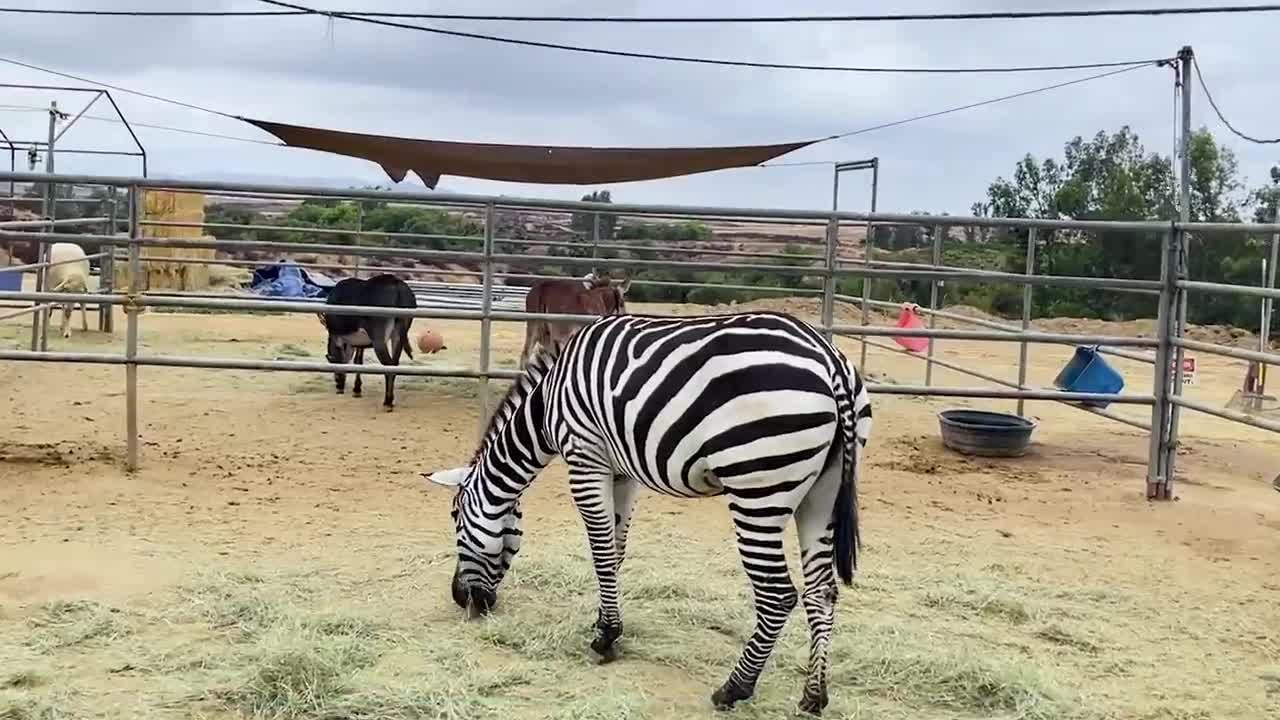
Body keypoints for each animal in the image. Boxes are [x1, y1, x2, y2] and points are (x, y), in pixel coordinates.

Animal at [430, 310, 870, 712]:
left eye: (456, 523)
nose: (460, 600)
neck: (547, 401)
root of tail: (828, 358)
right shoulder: (622, 472)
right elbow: (615, 552)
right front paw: (605, 623)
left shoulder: (584, 457)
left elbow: (600, 550)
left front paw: (606, 637)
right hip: (821, 495)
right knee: (822, 592)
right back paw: (813, 696)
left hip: (758, 489)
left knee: (778, 595)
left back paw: (734, 688)